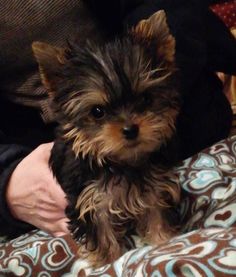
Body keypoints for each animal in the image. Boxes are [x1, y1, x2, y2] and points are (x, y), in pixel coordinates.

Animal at [32, 11, 181, 268]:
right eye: (97, 111)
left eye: (146, 98)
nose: (130, 129)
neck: (122, 163)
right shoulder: (89, 199)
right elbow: (100, 230)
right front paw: (106, 261)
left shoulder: (153, 186)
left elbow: (156, 211)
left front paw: (163, 241)